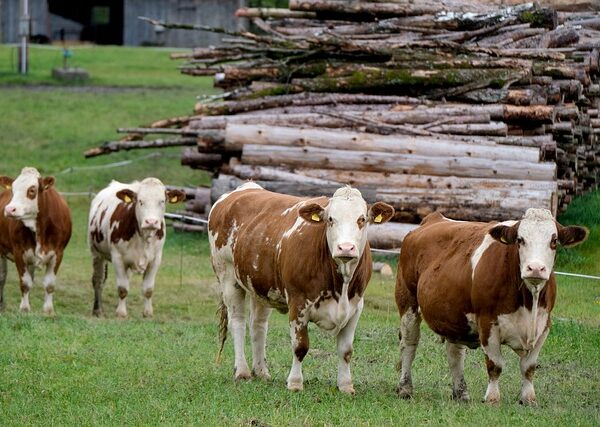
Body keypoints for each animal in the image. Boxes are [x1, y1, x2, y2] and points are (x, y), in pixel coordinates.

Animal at [0, 167, 72, 314]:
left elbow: (49, 284)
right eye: (13, 189)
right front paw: (24, 308)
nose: (9, 209)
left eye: (32, 190)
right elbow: (25, 283)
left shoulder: (58, 253)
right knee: (2, 277)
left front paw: (48, 310)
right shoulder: (19, 252)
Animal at [88, 179, 184, 320]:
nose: (151, 221)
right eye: (140, 201)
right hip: (97, 253)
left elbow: (148, 289)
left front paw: (148, 313)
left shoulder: (156, 259)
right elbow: (122, 289)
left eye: (162, 201)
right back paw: (97, 310)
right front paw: (121, 313)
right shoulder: (117, 258)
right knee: (98, 280)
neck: (144, 237)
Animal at [207, 184, 394, 394]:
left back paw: (261, 371)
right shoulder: (298, 303)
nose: (345, 248)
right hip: (228, 277)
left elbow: (346, 350)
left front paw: (346, 385)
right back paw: (242, 371)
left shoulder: (356, 307)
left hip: (260, 285)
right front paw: (295, 383)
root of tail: (245, 187)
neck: (341, 286)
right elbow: (300, 346)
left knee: (258, 325)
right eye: (330, 219)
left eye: (361, 219)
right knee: (237, 323)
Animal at [396, 211, 588, 408]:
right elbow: (495, 365)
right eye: (520, 239)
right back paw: (405, 388)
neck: (529, 303)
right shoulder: (487, 322)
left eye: (554, 240)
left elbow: (528, 367)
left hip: (455, 315)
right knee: (409, 344)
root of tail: (433, 218)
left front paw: (528, 398)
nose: (535, 268)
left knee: (455, 353)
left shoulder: (544, 325)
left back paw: (461, 393)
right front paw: (492, 398)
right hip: (407, 301)